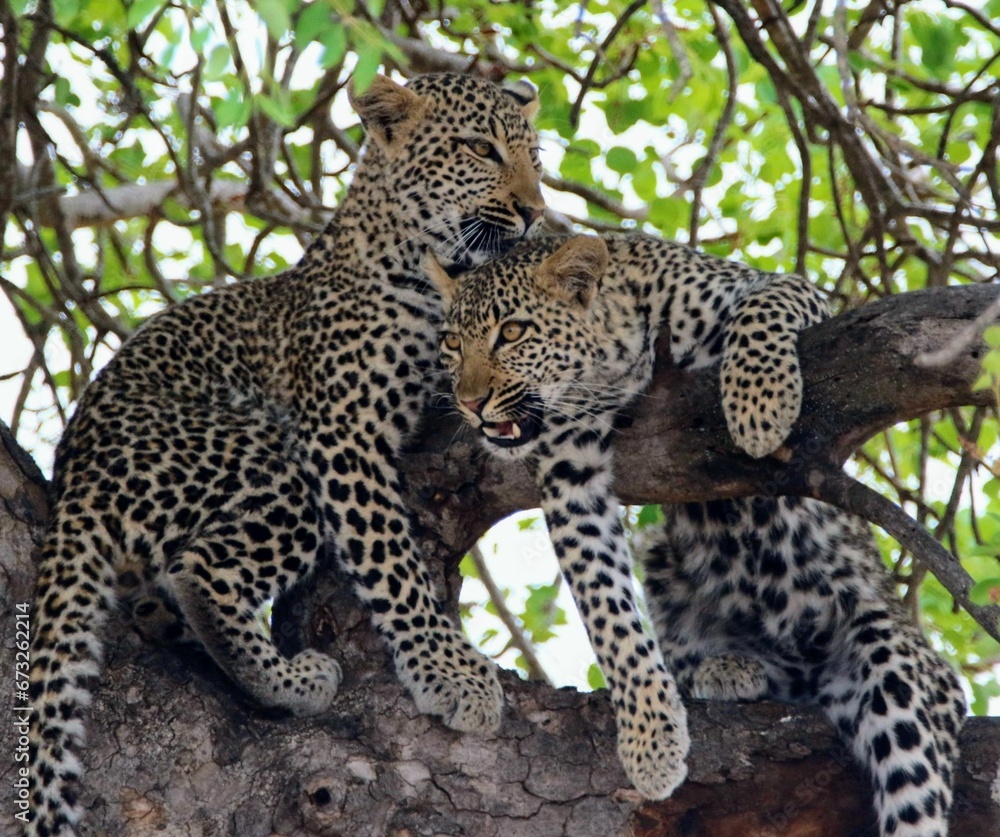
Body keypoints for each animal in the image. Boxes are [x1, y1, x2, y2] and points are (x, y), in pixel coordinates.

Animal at [21, 73, 548, 836]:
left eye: (535, 157)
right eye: (480, 149)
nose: (537, 212)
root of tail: (75, 480)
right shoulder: (343, 432)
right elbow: (392, 561)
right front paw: (448, 671)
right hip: (265, 455)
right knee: (202, 568)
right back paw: (293, 679)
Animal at [434, 230, 964, 836]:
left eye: (513, 332)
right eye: (452, 343)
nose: (470, 403)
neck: (610, 369)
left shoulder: (784, 294)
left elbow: (763, 310)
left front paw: (759, 406)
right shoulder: (570, 472)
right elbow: (606, 609)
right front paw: (650, 739)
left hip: (893, 652)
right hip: (664, 559)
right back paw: (725, 667)